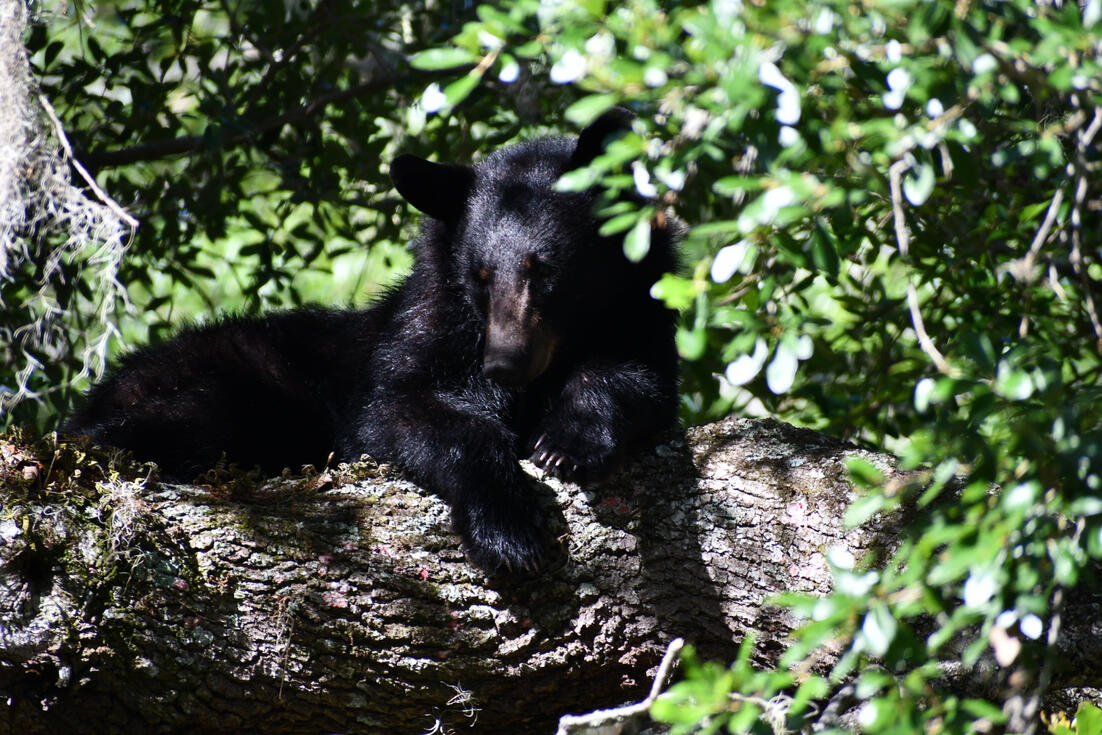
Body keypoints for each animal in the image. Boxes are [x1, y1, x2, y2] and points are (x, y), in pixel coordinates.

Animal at [64, 109, 681, 572]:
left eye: (543, 267)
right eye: (479, 274)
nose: (503, 366)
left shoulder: (640, 309)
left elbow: (637, 376)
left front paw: (567, 439)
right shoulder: (423, 338)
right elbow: (403, 410)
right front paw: (508, 528)